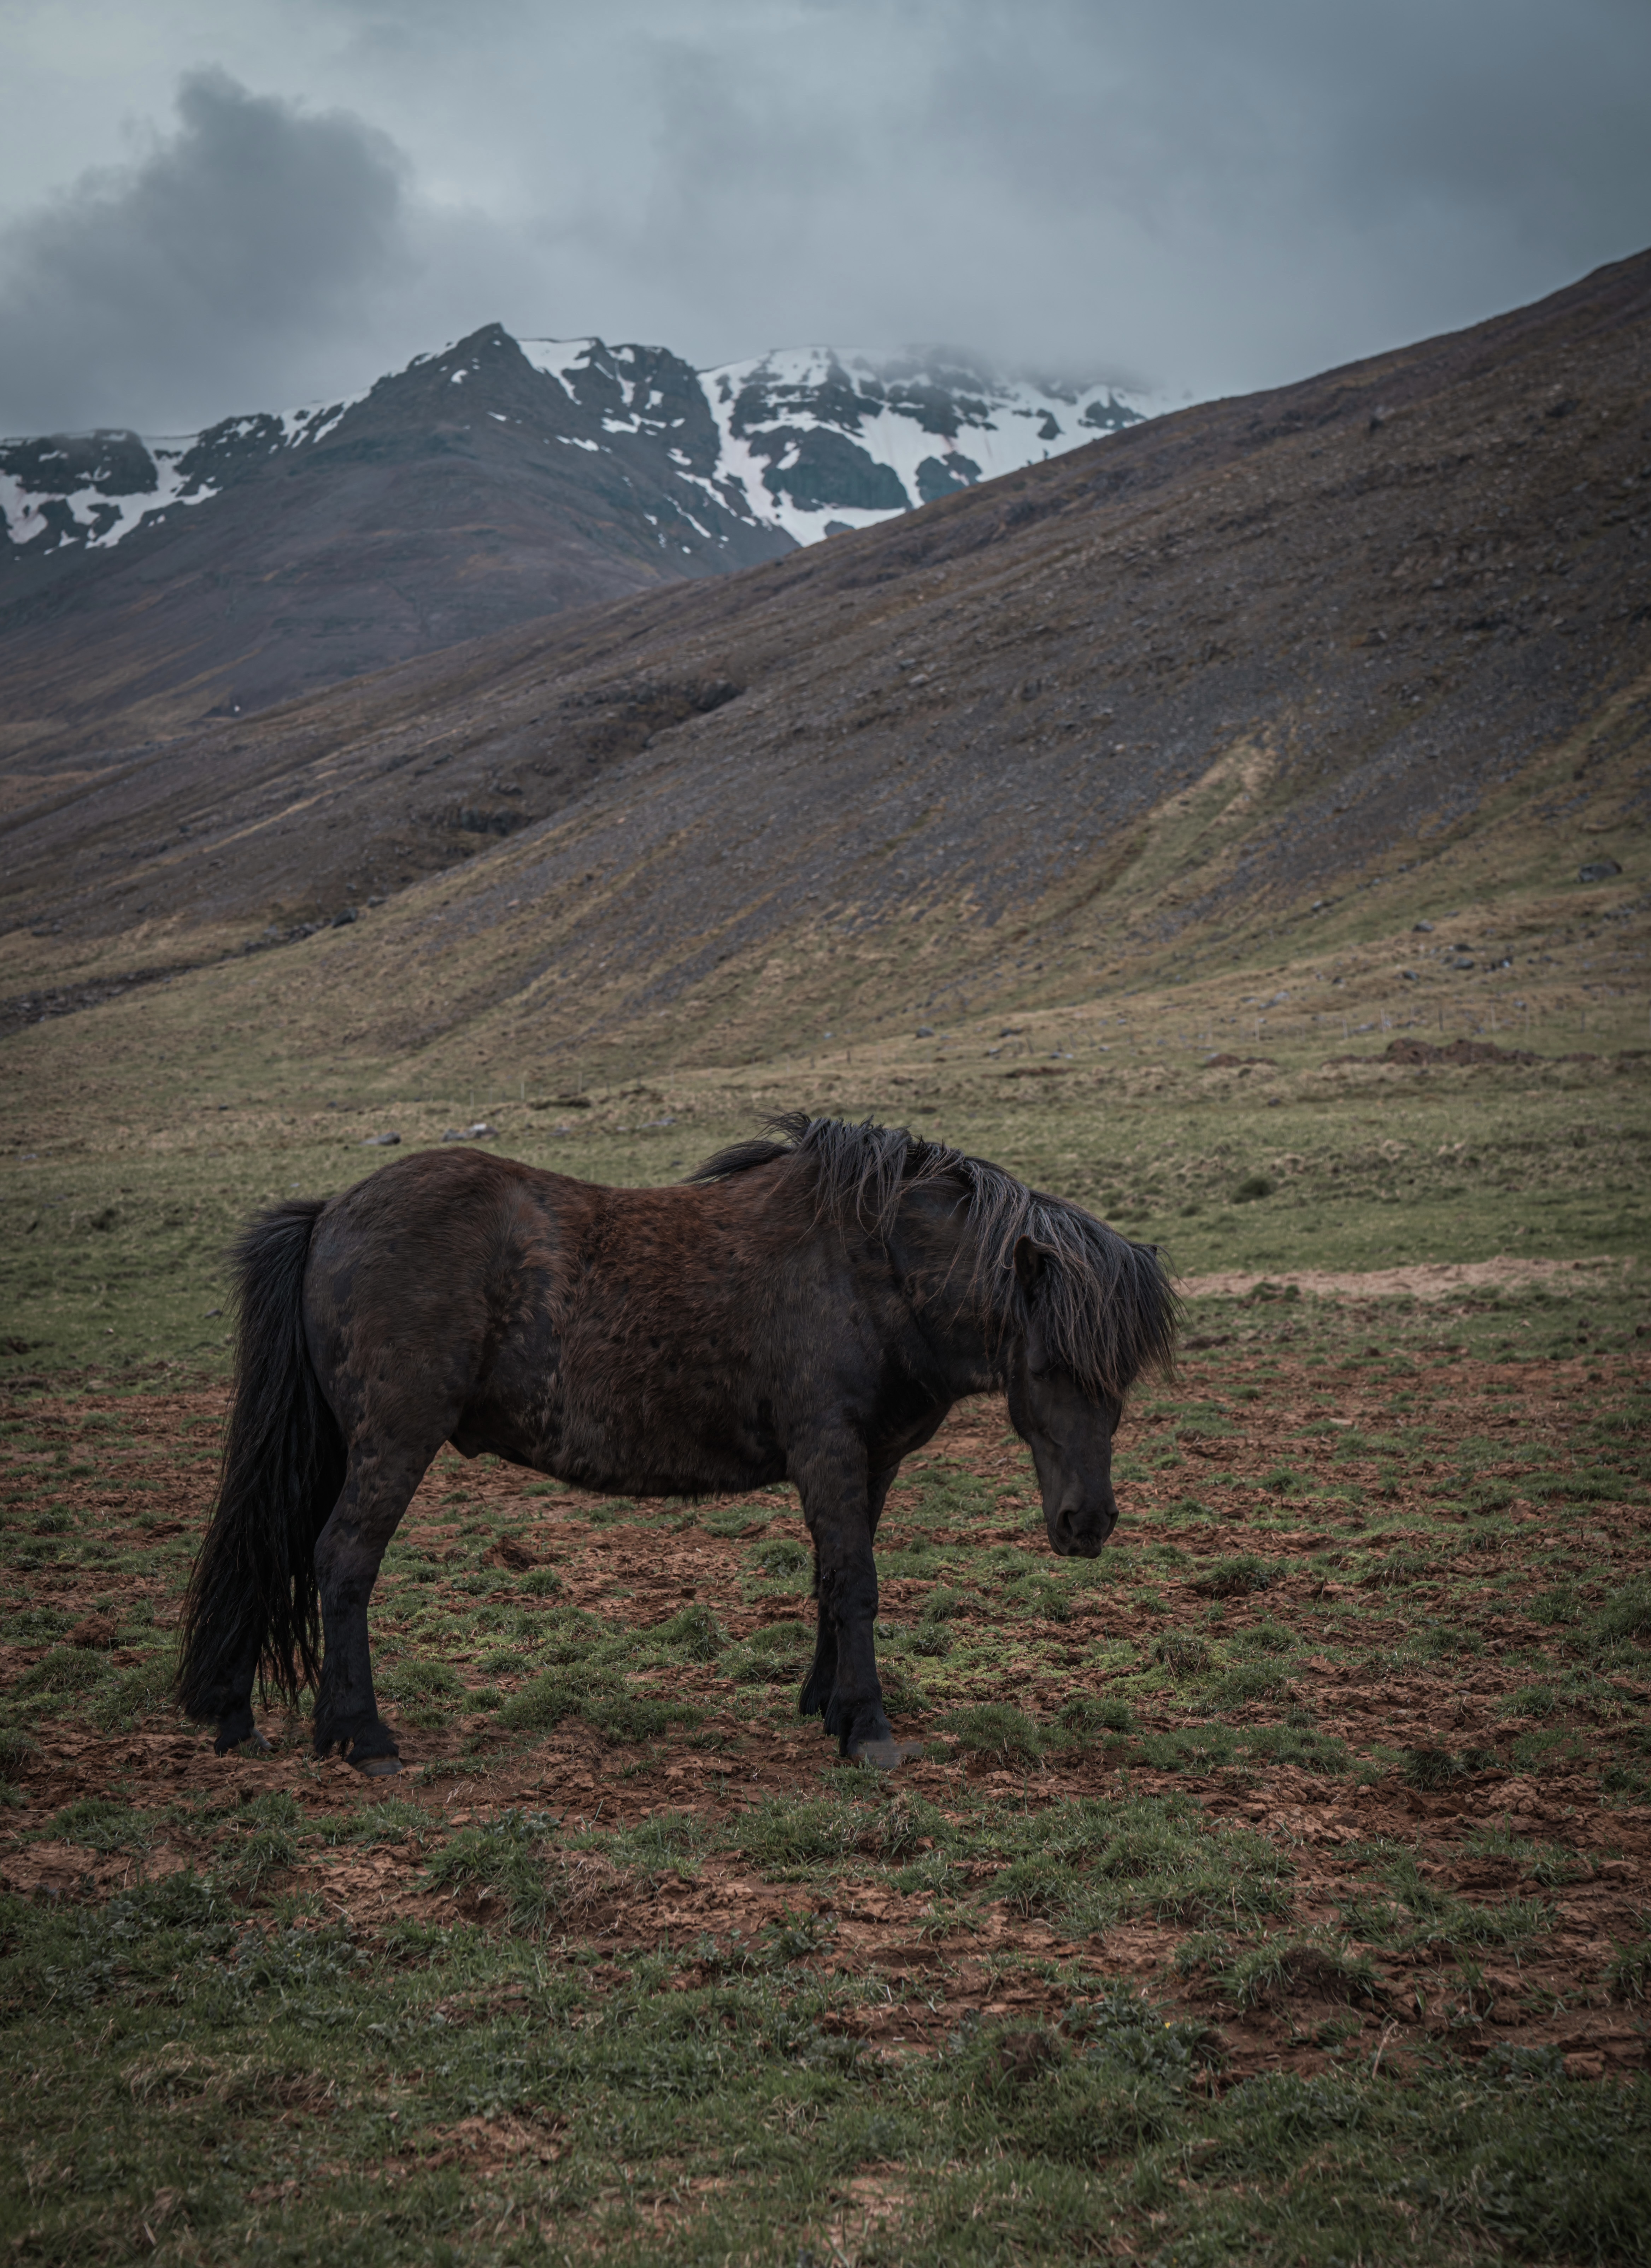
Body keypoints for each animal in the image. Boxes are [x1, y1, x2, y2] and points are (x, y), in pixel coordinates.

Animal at [176, 1113, 1177, 1772]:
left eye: (1121, 1375)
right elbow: (855, 1582)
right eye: (1046, 1363)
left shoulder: (870, 1462)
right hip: (394, 1438)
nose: (1087, 1523)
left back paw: (262, 1717)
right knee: (343, 1559)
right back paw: (365, 1737)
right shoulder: (827, 1448)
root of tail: (332, 1211)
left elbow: (833, 1580)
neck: (873, 1266)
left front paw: (825, 1706)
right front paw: (868, 1726)